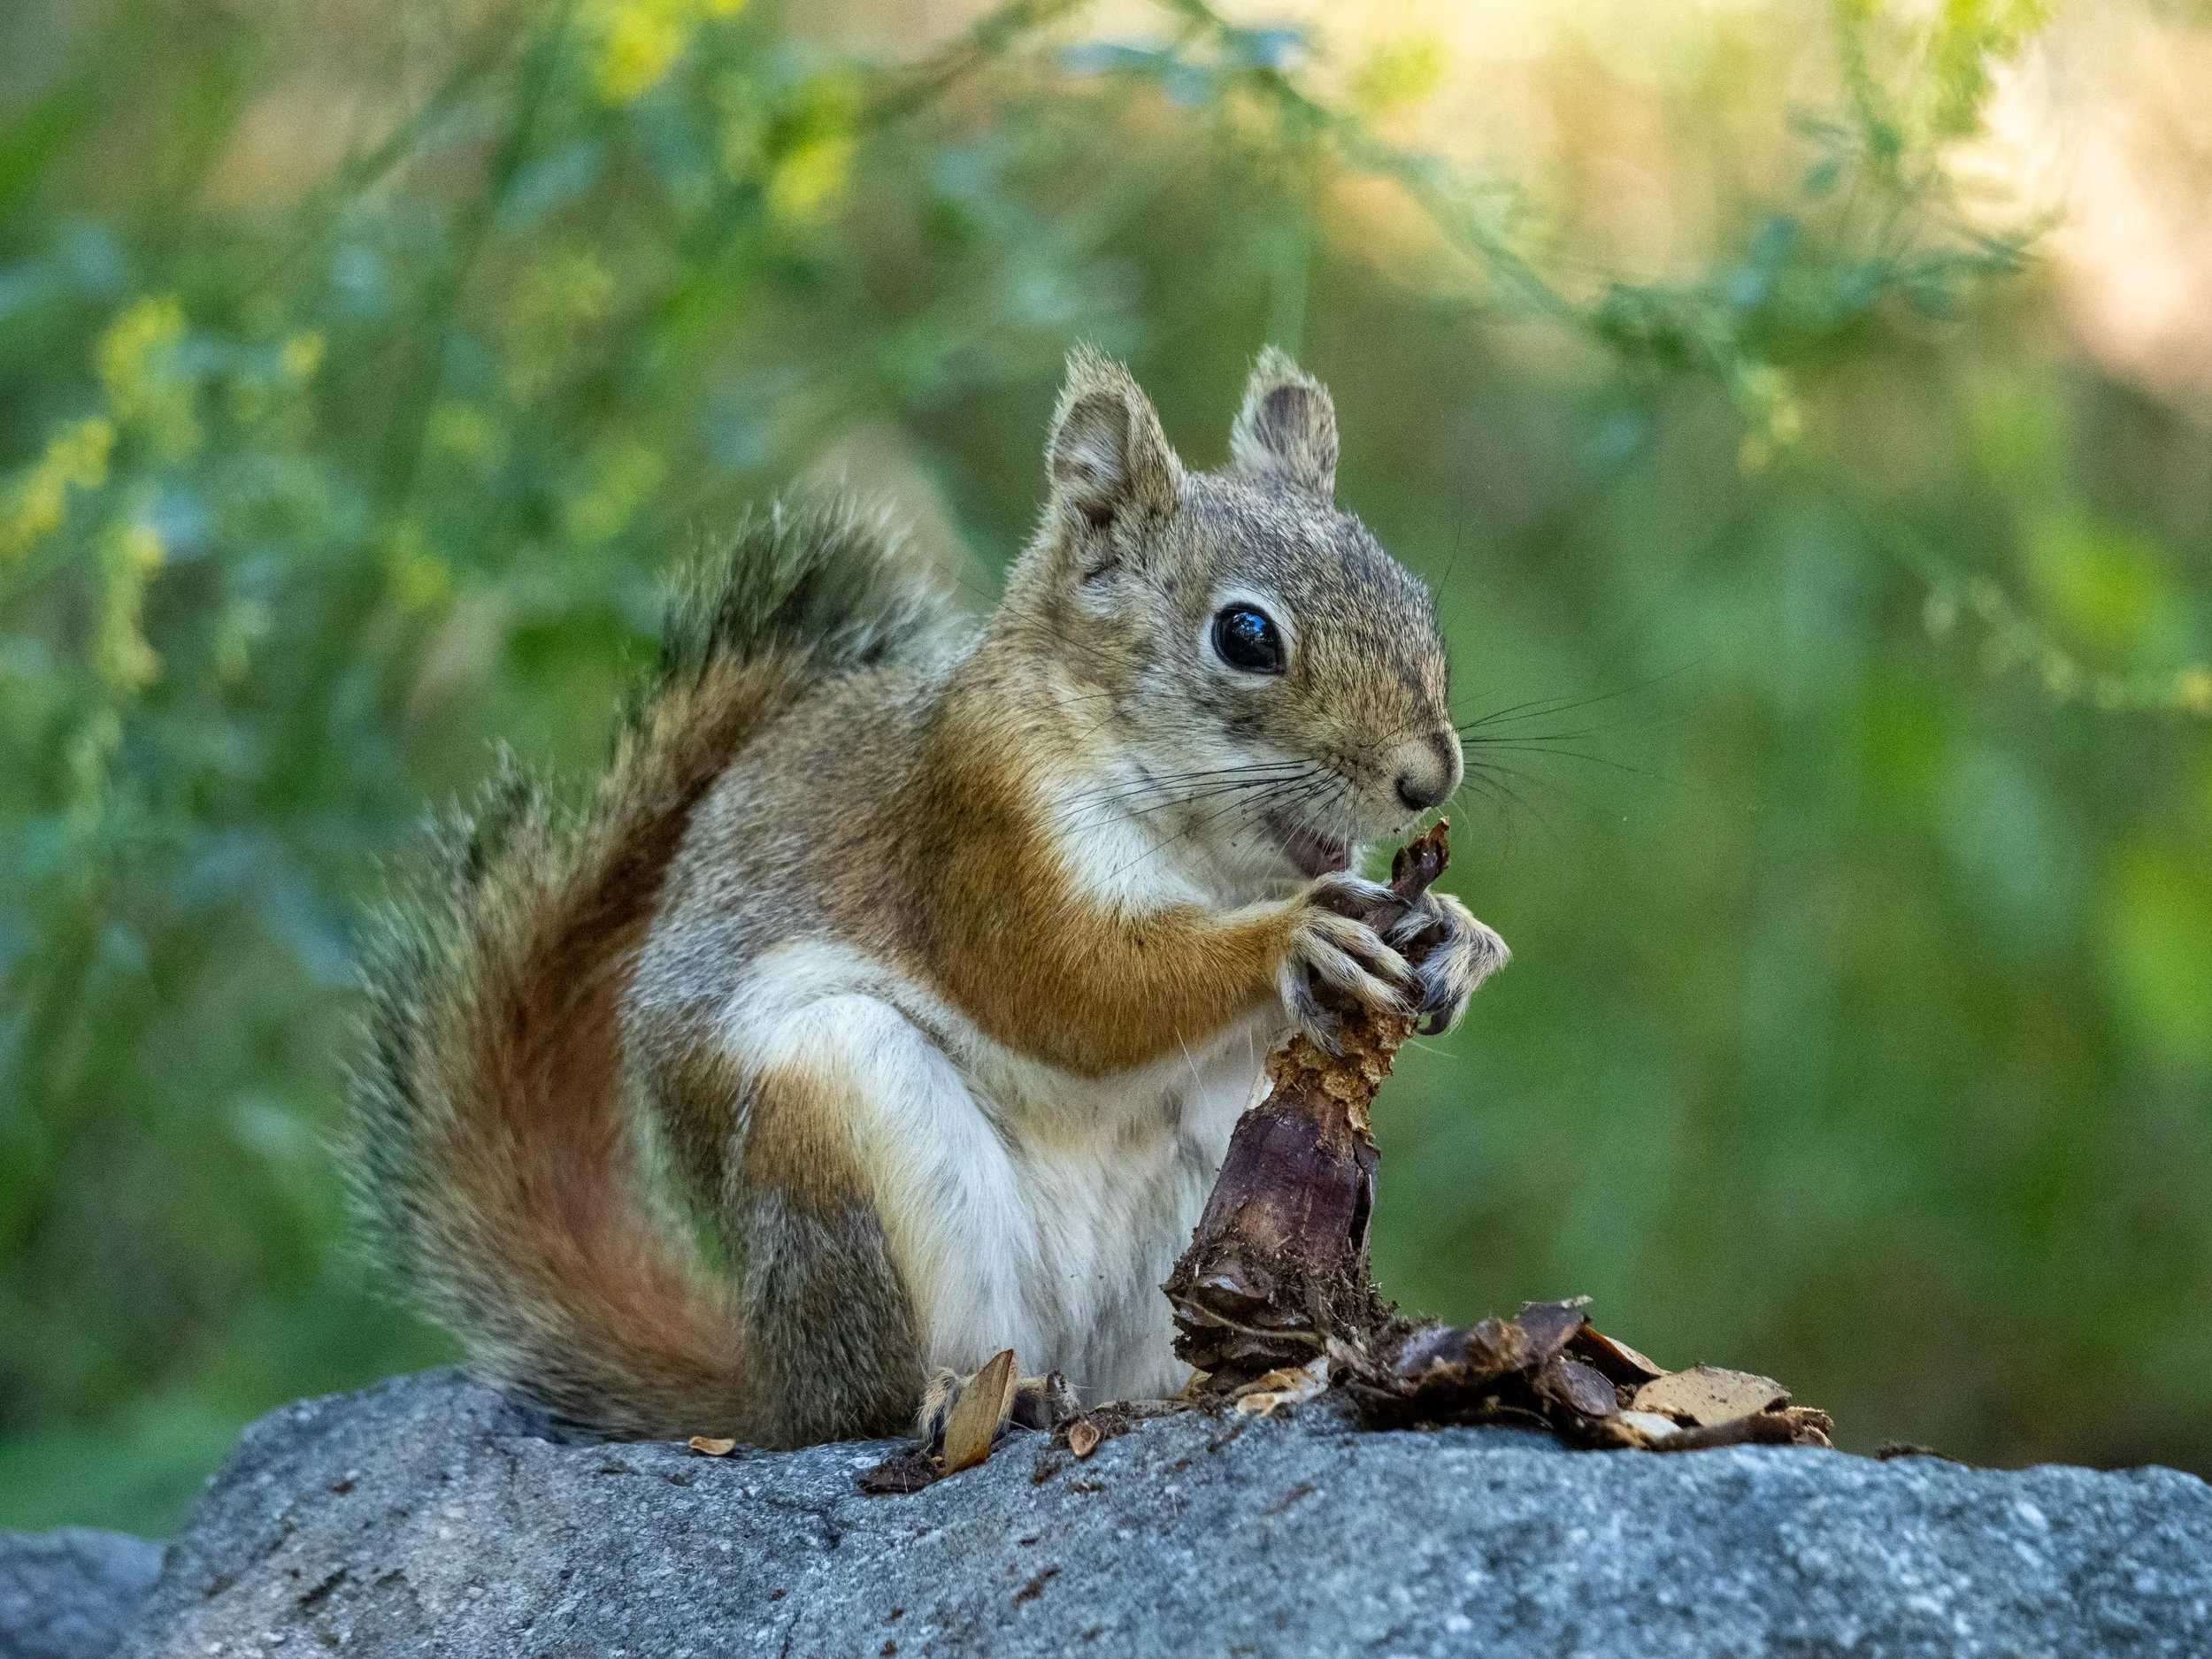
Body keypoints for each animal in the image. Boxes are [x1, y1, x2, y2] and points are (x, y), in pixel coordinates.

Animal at [352, 347, 1508, 1449]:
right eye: (1246, 636)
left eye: (1413, 595)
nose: (1427, 778)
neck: (1200, 851)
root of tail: (772, 1388)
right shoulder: (977, 830)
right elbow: (1074, 989)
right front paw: (1299, 940)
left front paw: (1457, 936)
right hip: (837, 1116)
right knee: (874, 1395)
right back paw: (967, 1396)